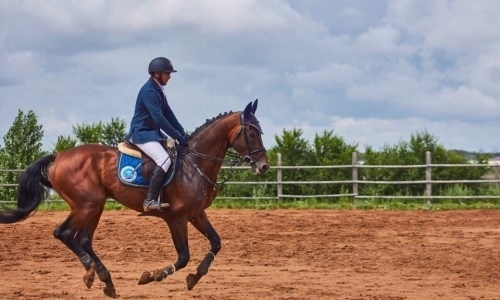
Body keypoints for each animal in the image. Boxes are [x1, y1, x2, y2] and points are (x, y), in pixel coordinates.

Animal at [0, 99, 270, 298]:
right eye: (252, 132)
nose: (264, 166)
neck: (195, 164)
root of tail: (58, 156)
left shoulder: (196, 214)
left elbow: (216, 242)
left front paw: (195, 277)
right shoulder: (177, 218)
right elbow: (183, 257)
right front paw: (153, 276)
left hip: (95, 205)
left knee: (84, 239)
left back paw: (106, 281)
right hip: (86, 205)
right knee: (64, 233)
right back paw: (90, 273)